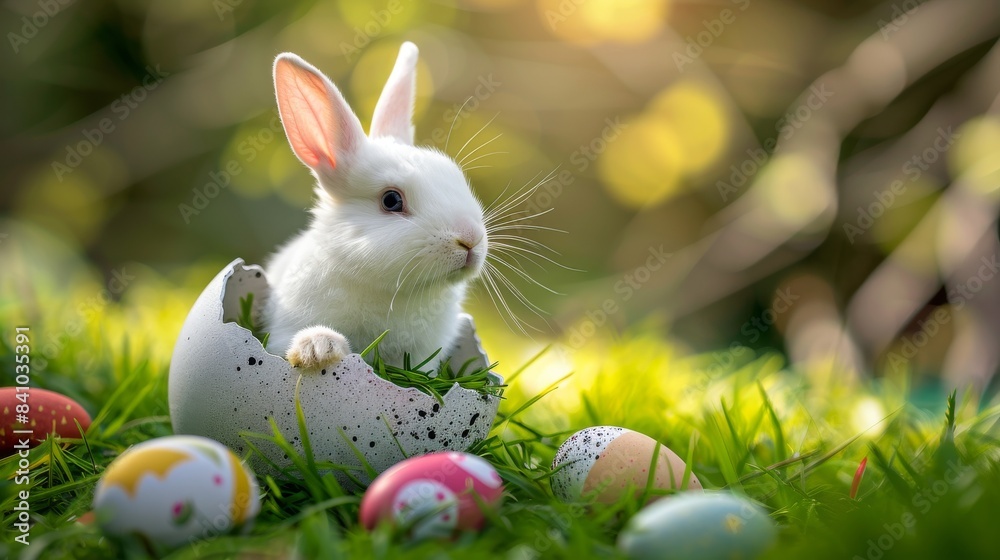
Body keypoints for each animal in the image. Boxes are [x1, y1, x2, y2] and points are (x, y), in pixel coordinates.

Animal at [262, 42, 488, 372]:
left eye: (455, 176)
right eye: (391, 200)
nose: (470, 239)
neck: (395, 291)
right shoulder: (284, 327)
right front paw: (319, 348)